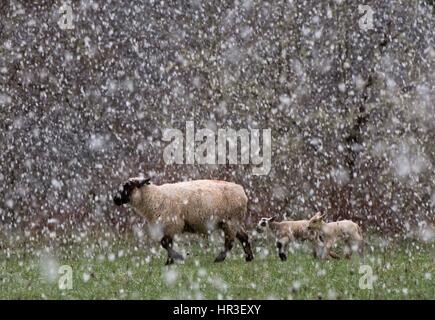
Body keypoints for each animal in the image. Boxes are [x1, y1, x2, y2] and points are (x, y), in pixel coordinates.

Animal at [113, 178, 255, 264]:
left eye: (128, 186)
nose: (115, 199)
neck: (154, 198)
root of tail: (242, 191)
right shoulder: (168, 226)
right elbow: (168, 244)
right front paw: (169, 262)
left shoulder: (172, 223)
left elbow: (164, 243)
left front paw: (177, 258)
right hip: (235, 222)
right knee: (244, 237)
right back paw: (249, 258)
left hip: (231, 221)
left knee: (229, 242)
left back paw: (219, 259)